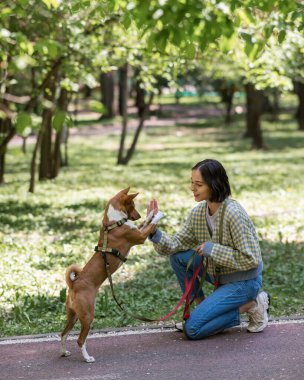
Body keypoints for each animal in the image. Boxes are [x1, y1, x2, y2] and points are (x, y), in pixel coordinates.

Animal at [59, 189, 159, 364]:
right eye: (133, 205)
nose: (138, 215)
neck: (113, 222)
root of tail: (74, 284)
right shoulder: (140, 237)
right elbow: (152, 223)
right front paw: (159, 214)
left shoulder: (138, 230)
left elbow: (147, 222)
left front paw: (151, 213)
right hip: (87, 316)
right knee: (80, 340)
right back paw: (87, 358)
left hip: (73, 316)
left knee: (63, 334)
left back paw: (64, 352)